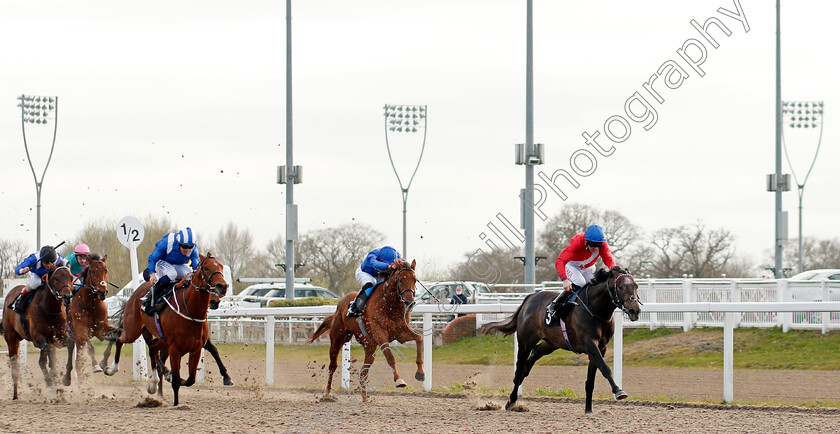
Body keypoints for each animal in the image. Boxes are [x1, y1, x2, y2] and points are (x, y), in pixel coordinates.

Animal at [2, 264, 75, 400]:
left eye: (71, 277)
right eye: (56, 278)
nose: (67, 297)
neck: (49, 308)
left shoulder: (59, 336)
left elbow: (70, 345)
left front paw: (66, 378)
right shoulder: (38, 338)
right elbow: (50, 353)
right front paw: (55, 376)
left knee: (42, 361)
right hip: (11, 338)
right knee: (14, 365)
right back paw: (15, 394)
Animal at [63, 254, 113, 384]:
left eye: (105, 270)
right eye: (92, 271)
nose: (102, 291)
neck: (91, 305)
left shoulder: (102, 328)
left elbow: (115, 336)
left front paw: (103, 363)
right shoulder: (81, 331)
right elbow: (90, 348)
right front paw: (96, 366)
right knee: (71, 349)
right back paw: (67, 377)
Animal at [103, 253, 228, 406]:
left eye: (221, 266)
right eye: (206, 268)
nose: (222, 286)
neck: (190, 310)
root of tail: (134, 294)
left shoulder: (196, 347)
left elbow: (191, 378)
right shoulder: (175, 348)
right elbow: (176, 379)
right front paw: (176, 402)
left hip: (161, 339)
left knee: (152, 349)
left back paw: (155, 386)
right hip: (133, 330)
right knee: (120, 339)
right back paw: (111, 369)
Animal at [308, 258, 424, 404]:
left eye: (414, 280)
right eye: (400, 280)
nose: (409, 302)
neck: (389, 303)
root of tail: (339, 306)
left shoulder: (401, 332)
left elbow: (419, 338)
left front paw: (420, 373)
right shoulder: (380, 334)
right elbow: (390, 357)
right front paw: (399, 380)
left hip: (369, 345)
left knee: (364, 371)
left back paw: (364, 397)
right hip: (337, 339)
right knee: (332, 366)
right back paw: (326, 394)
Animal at [482, 266, 640, 412]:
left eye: (636, 286)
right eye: (620, 287)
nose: (635, 310)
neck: (595, 309)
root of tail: (529, 298)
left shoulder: (601, 347)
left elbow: (591, 380)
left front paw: (588, 410)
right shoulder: (589, 344)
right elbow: (605, 368)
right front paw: (618, 391)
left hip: (551, 343)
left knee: (534, 355)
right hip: (525, 341)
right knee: (520, 368)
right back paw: (511, 401)